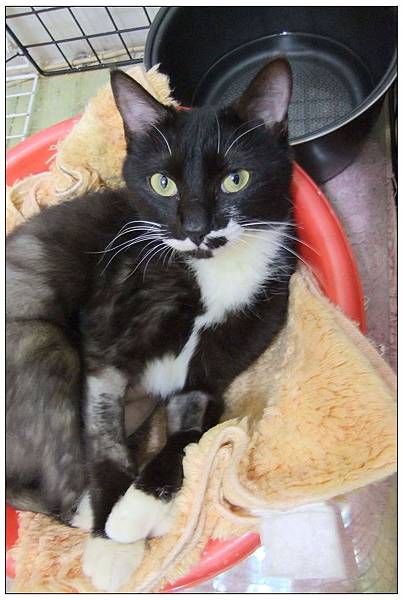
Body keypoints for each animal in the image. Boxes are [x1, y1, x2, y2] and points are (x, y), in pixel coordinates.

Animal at [6, 57, 296, 591]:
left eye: (236, 179)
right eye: (164, 183)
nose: (197, 228)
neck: (209, 276)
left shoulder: (206, 380)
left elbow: (189, 439)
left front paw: (138, 510)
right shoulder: (102, 355)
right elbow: (103, 443)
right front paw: (111, 540)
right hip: (40, 341)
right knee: (56, 479)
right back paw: (87, 514)